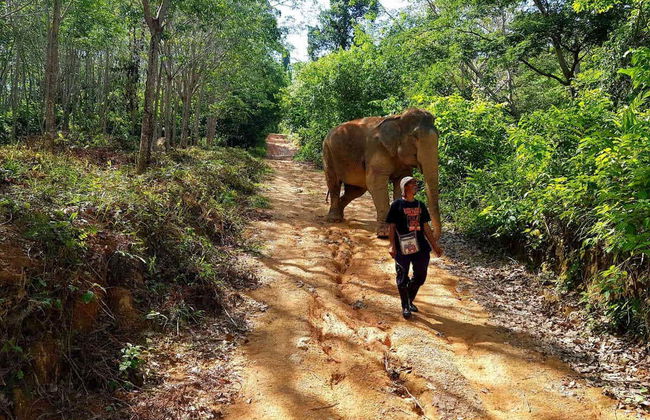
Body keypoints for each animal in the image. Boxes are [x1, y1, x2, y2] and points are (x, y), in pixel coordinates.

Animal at [323, 108, 441, 240]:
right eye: (415, 137)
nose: (431, 234)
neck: (398, 118)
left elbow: (400, 181)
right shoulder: (376, 149)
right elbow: (375, 183)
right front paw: (384, 234)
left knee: (355, 191)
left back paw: (340, 215)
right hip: (328, 153)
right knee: (333, 183)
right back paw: (334, 219)